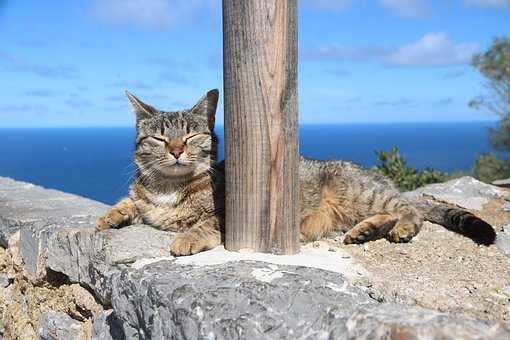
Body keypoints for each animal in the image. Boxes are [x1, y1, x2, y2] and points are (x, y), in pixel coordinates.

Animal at [95, 89, 494, 255]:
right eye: (160, 138)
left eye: (191, 136)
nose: (177, 150)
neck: (169, 187)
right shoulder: (142, 198)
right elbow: (130, 201)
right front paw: (108, 217)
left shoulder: (235, 213)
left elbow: (205, 223)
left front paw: (188, 237)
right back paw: (365, 232)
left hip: (363, 194)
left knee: (410, 209)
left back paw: (402, 226)